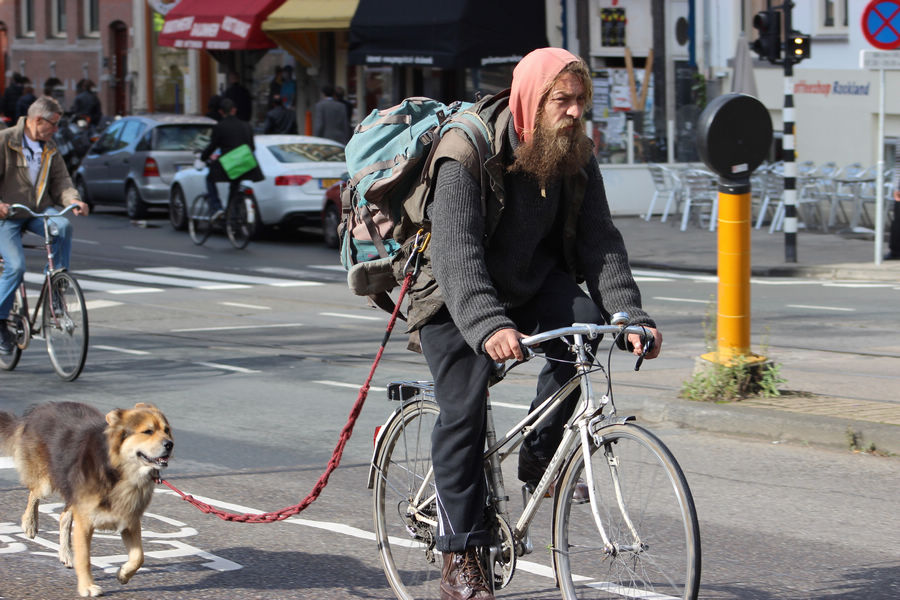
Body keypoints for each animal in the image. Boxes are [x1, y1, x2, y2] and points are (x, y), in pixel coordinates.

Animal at [0, 404, 172, 596]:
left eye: (166, 430)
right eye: (148, 431)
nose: (170, 444)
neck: (120, 472)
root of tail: (39, 409)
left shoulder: (130, 521)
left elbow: (139, 556)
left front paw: (123, 574)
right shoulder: (85, 522)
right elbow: (84, 558)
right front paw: (87, 586)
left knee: (63, 516)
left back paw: (66, 554)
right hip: (47, 484)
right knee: (33, 494)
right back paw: (30, 524)